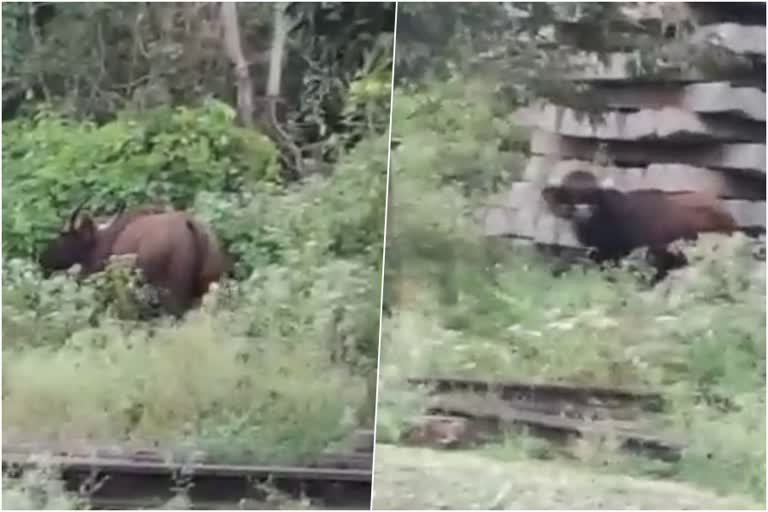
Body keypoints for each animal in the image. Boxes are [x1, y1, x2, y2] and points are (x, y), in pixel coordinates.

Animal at [39, 201, 225, 314]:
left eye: (63, 235)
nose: (42, 258)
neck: (99, 241)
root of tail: (192, 227)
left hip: (173, 294)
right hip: (205, 290)